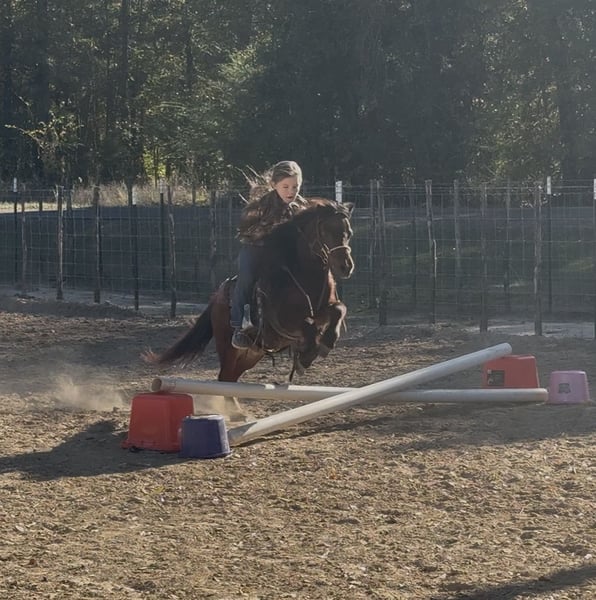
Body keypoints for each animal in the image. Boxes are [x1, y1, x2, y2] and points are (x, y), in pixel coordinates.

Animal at [145, 198, 355, 393]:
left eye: (349, 232)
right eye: (326, 231)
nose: (346, 266)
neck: (305, 276)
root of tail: (216, 298)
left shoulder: (325, 309)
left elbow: (338, 309)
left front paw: (328, 340)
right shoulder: (285, 323)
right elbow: (308, 325)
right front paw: (306, 356)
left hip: (252, 355)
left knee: (231, 378)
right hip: (229, 348)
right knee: (224, 378)